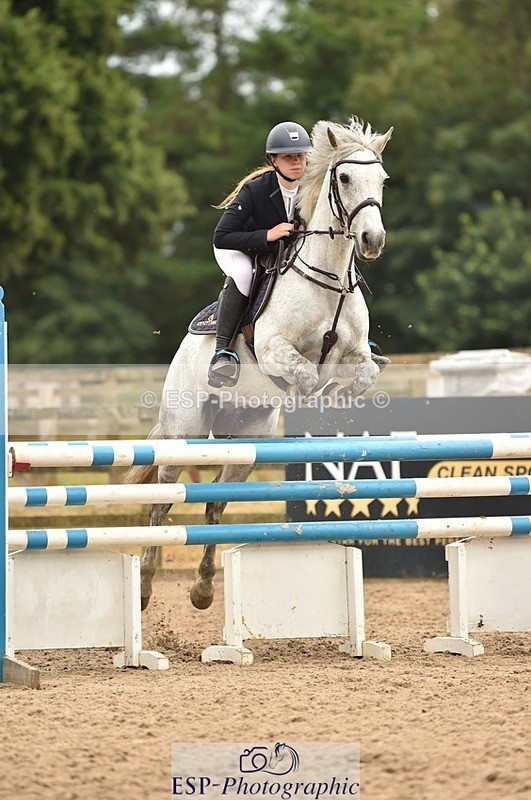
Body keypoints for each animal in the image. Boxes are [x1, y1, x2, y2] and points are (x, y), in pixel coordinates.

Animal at [126, 117, 393, 611]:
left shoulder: (356, 355)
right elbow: (304, 372)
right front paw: (313, 394)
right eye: (345, 177)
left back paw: (203, 589)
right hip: (185, 432)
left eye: (382, 180)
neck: (327, 278)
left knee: (215, 502)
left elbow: (363, 373)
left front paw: (334, 396)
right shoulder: (273, 350)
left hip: (244, 444)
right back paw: (146, 585)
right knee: (163, 499)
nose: (372, 241)